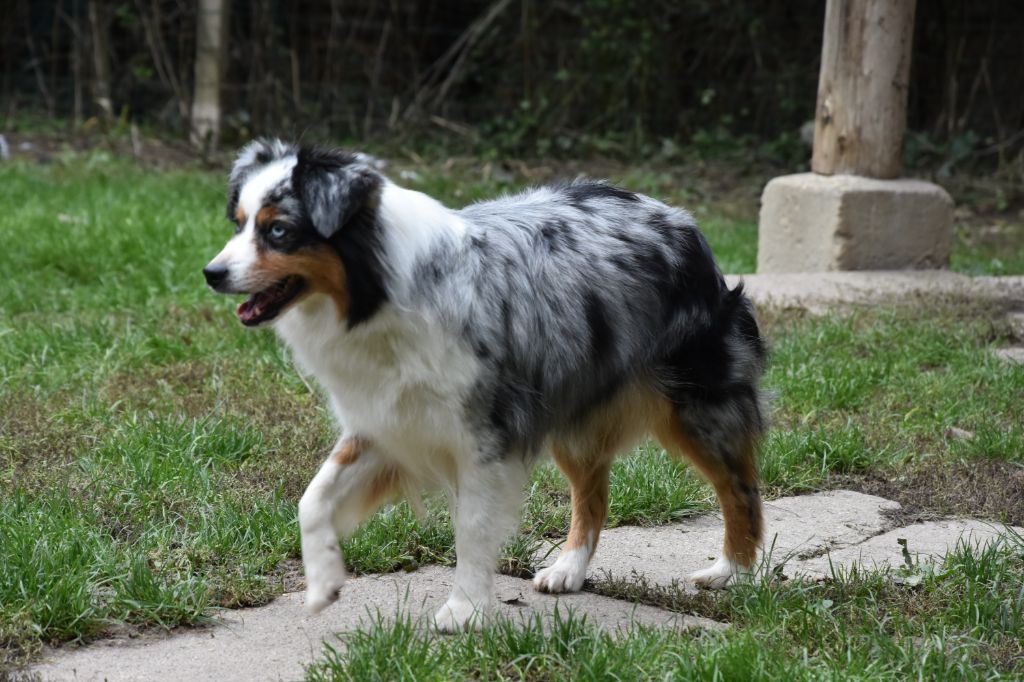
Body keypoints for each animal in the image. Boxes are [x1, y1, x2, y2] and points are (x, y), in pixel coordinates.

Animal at [203, 139, 767, 631]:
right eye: (238, 224)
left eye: (278, 231)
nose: (211, 272)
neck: (384, 293)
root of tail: (676, 215)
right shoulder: (386, 420)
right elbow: (313, 498)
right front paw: (323, 581)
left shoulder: (485, 435)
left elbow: (472, 528)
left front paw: (465, 611)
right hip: (572, 408)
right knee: (593, 492)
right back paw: (569, 568)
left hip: (697, 405)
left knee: (739, 488)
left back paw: (733, 571)